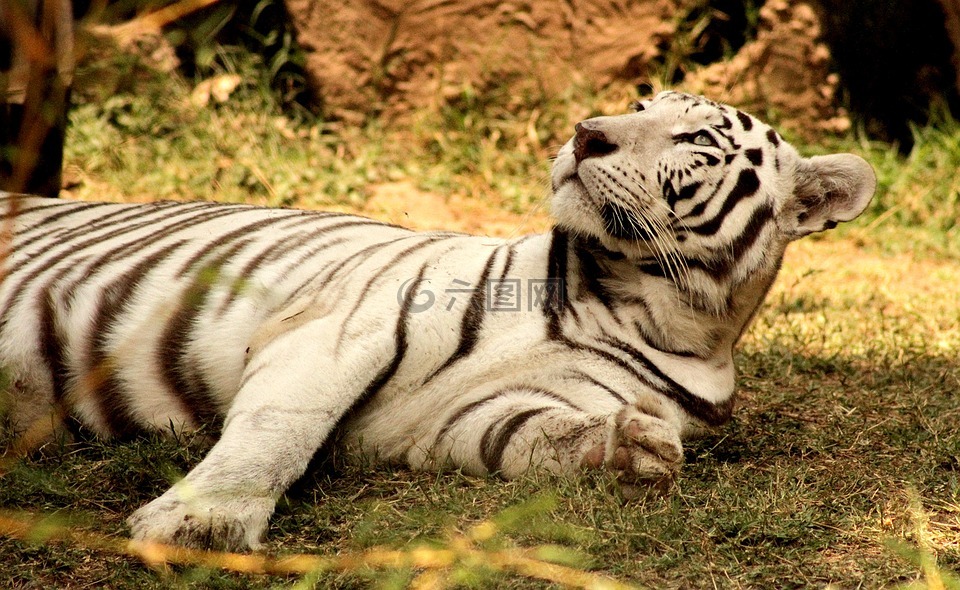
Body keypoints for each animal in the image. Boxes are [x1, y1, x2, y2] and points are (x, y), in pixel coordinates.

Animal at [0, 91, 875, 551]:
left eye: (692, 136)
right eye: (637, 107)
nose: (586, 133)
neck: (633, 299)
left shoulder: (459, 420)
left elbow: (538, 436)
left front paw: (634, 449)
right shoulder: (345, 325)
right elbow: (279, 432)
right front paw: (200, 523)